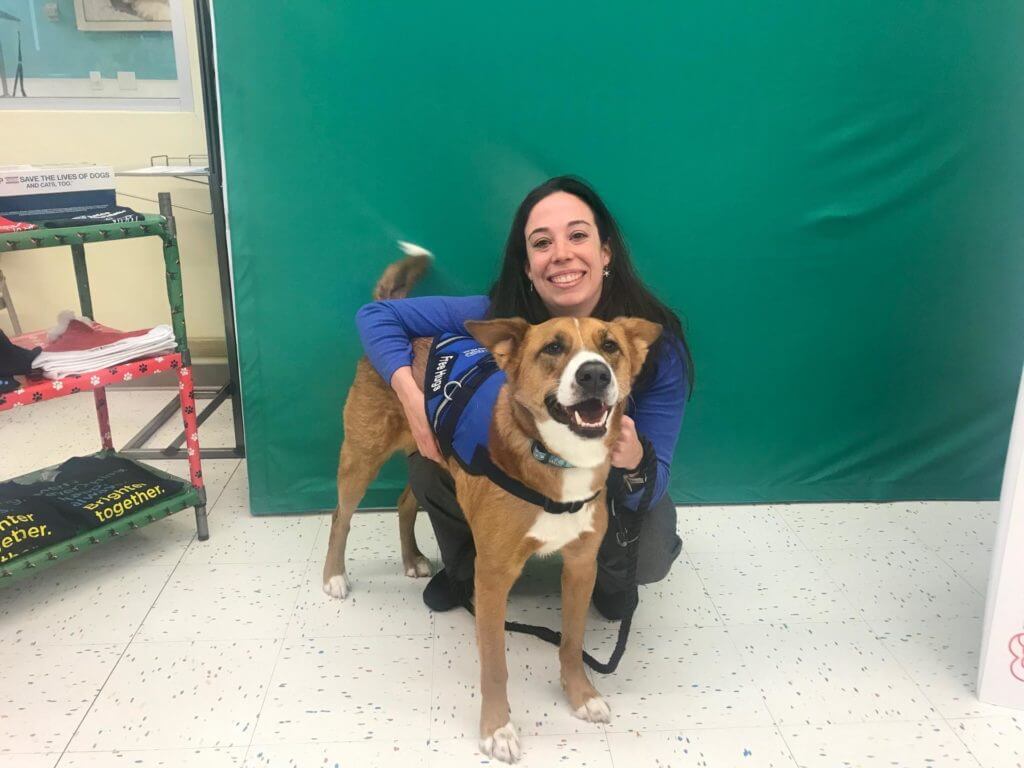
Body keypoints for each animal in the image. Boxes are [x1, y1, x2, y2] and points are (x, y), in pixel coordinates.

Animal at [321, 292, 655, 765]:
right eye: (553, 348)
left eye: (610, 346)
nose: (594, 373)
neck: (554, 457)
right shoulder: (494, 575)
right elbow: (496, 665)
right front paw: (497, 729)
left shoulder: (581, 565)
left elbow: (572, 642)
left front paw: (581, 695)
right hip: (361, 456)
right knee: (341, 516)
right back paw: (334, 576)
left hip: (426, 449)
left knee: (405, 503)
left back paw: (411, 558)